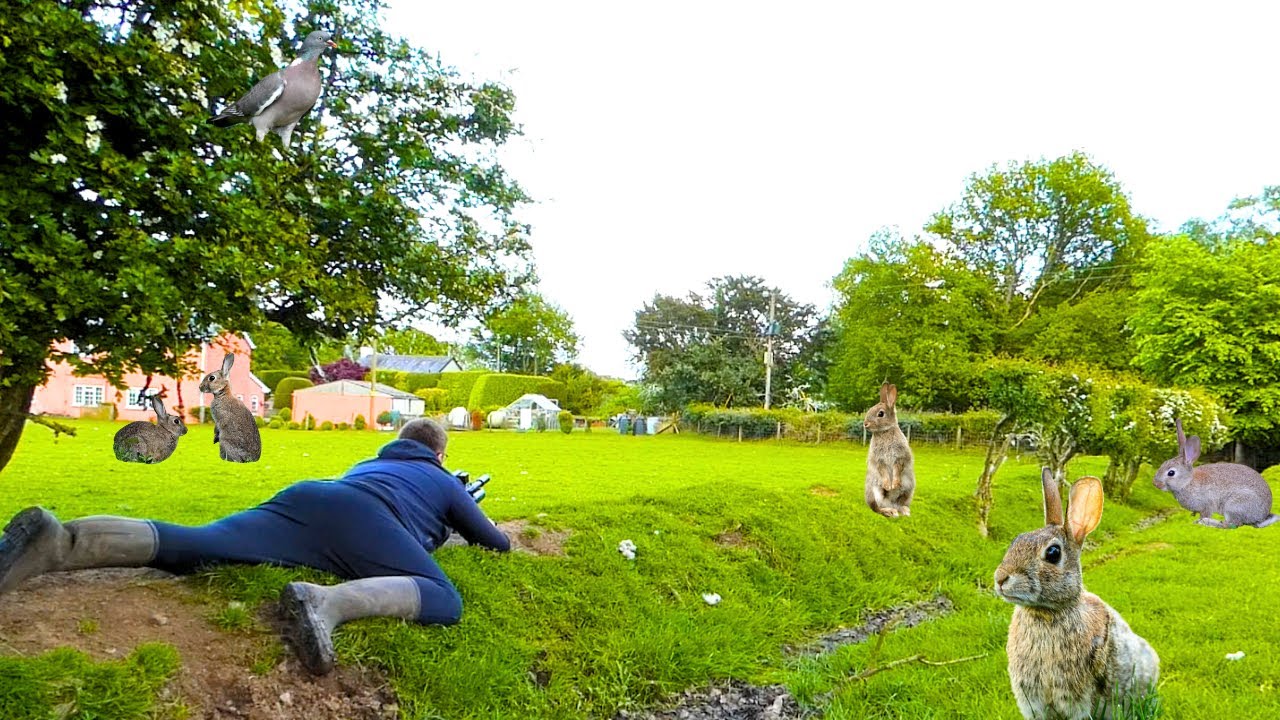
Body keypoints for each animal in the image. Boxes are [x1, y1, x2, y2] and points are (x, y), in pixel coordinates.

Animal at [863, 382, 915, 518]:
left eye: (880, 414)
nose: (865, 424)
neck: (885, 431)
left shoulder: (900, 457)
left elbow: (897, 469)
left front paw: (894, 484)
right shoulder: (879, 459)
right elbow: (883, 471)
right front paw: (888, 486)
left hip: (908, 489)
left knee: (900, 503)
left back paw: (903, 511)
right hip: (875, 491)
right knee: (877, 508)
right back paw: (890, 511)